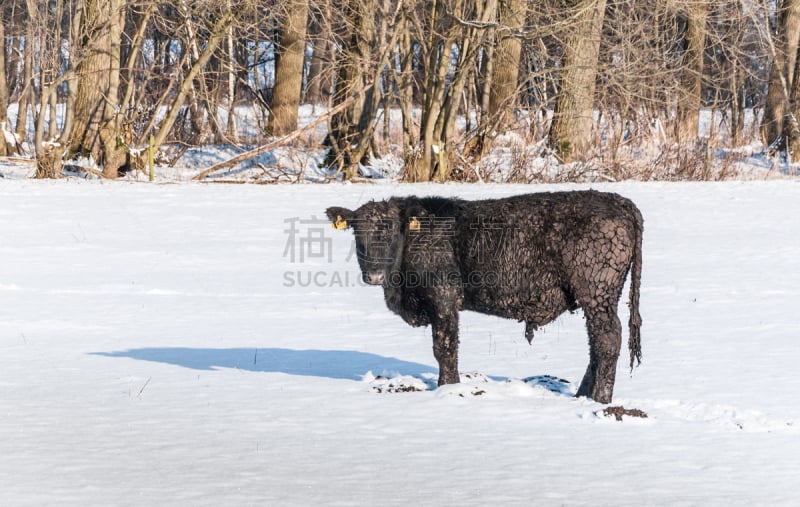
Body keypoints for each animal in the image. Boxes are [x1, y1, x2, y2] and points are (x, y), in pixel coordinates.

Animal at [326, 190, 644, 404]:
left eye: (392, 229)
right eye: (357, 232)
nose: (374, 275)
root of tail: (620, 201)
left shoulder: (444, 299)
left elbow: (444, 348)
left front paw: (448, 388)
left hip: (597, 292)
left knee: (607, 340)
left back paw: (600, 399)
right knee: (596, 344)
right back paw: (581, 395)